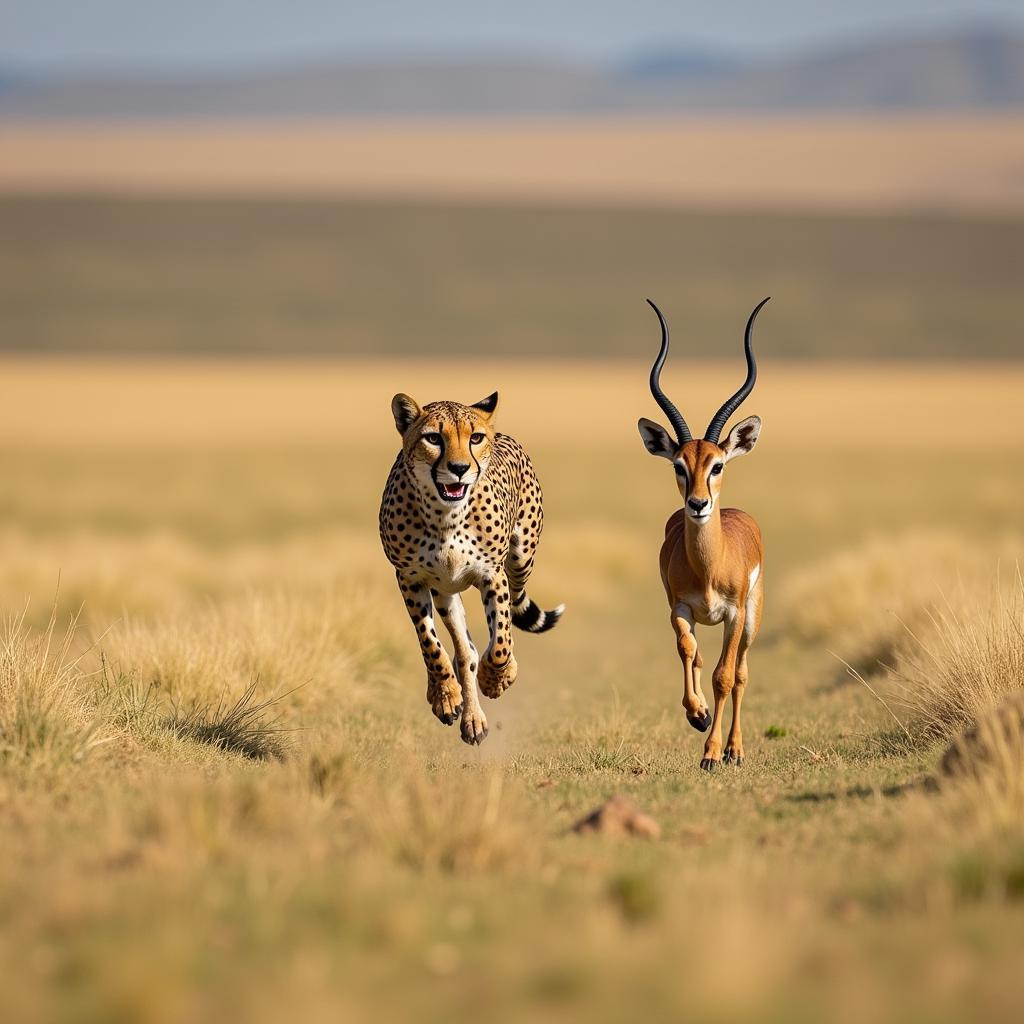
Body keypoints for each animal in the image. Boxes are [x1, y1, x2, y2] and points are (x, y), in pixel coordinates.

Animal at [380, 389, 565, 745]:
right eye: (433, 438)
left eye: (475, 438)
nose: (459, 468)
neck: (445, 516)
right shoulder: (410, 578)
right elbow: (431, 646)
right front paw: (446, 695)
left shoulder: (492, 574)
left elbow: (501, 642)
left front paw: (496, 679)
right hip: (444, 592)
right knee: (464, 652)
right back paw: (462, 711)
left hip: (521, 560)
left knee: (502, 621)